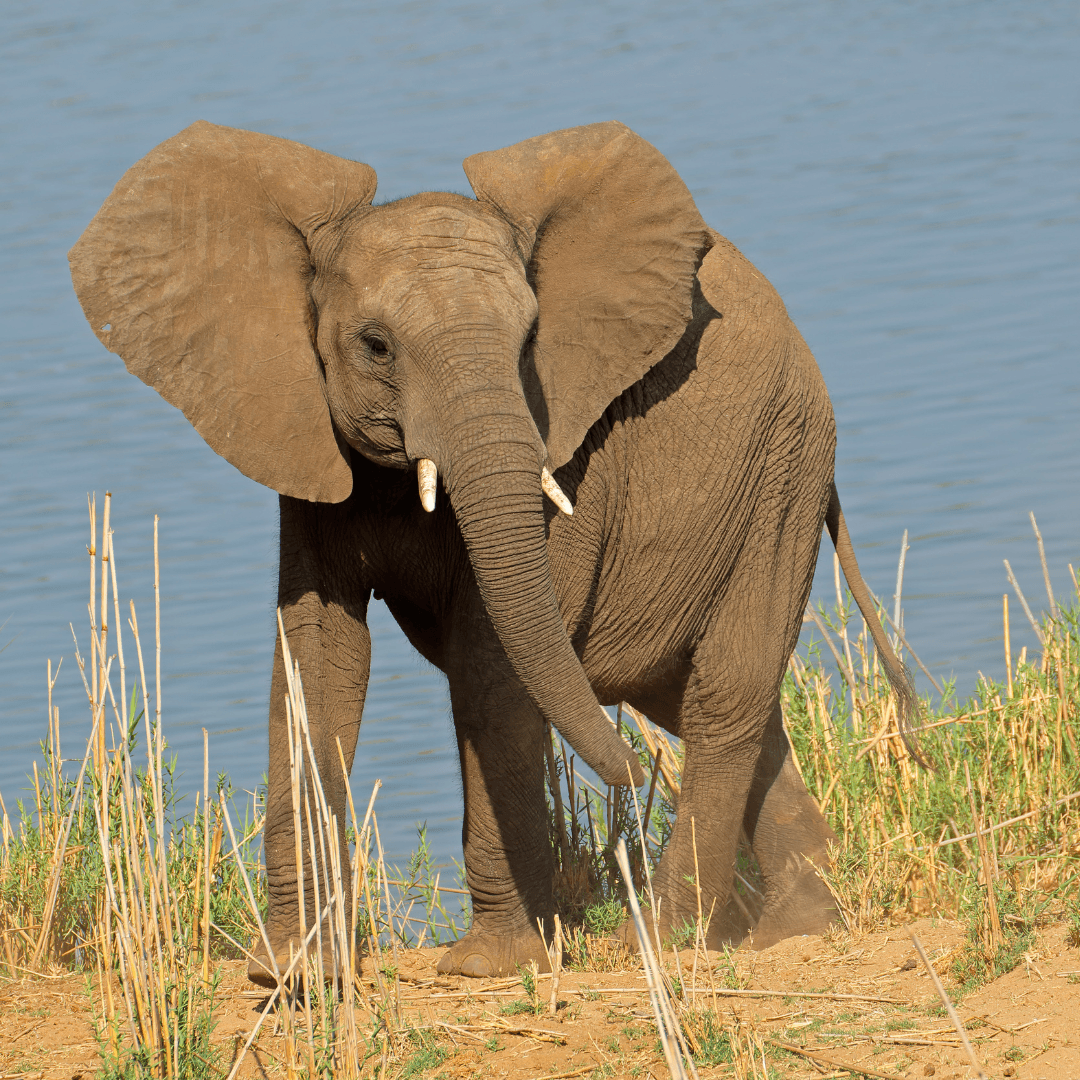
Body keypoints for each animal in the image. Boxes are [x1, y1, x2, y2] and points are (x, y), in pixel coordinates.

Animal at [67, 122, 915, 984]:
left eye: (530, 339)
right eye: (375, 345)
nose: (630, 774)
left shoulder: (571, 457)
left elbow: (492, 670)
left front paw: (490, 966)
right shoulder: (306, 437)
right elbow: (317, 659)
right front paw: (294, 976)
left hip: (783, 463)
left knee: (723, 693)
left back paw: (660, 937)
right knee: (686, 692)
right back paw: (798, 925)